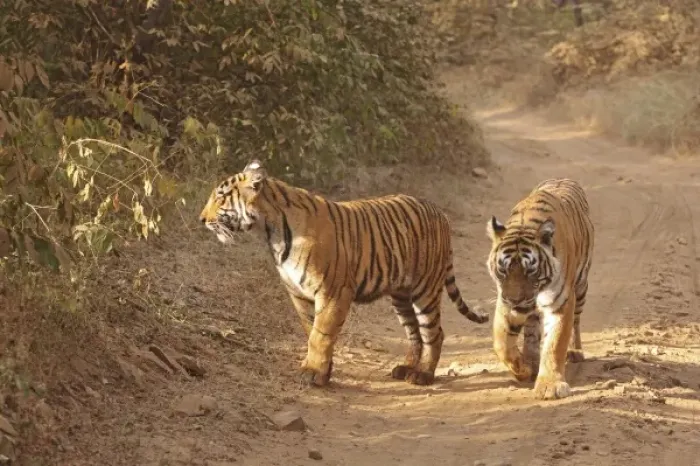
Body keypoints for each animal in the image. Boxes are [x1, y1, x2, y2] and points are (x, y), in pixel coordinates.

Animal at [199, 160, 489, 387]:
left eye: (221, 197)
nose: (201, 219)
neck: (271, 232)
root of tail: (440, 212)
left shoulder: (332, 292)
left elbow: (321, 335)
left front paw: (312, 373)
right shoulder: (299, 294)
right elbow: (311, 330)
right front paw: (322, 372)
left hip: (425, 289)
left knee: (434, 332)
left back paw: (423, 375)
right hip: (401, 295)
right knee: (414, 333)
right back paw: (405, 368)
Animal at [485, 178, 594, 400]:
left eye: (530, 270)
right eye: (503, 270)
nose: (515, 300)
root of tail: (564, 178)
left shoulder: (562, 302)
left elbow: (555, 343)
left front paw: (550, 386)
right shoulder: (504, 301)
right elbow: (502, 343)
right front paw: (522, 369)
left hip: (581, 287)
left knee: (575, 322)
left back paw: (575, 351)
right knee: (531, 328)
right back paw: (531, 359)